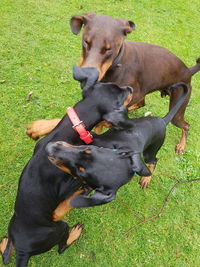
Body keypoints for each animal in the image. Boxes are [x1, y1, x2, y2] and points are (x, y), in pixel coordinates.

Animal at [0, 67, 134, 267]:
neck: (70, 129)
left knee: (7, 256)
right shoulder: (66, 183)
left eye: (112, 84)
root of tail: (23, 251)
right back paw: (74, 234)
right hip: (59, 228)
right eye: (120, 100)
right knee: (61, 247)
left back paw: (4, 244)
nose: (131, 88)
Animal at [27, 13, 200, 155]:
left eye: (108, 49)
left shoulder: (128, 93)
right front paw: (42, 126)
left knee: (185, 125)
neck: (116, 64)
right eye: (86, 42)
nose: (82, 76)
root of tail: (188, 70)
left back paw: (181, 145)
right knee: (142, 103)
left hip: (177, 108)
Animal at [46, 82, 188, 208]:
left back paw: (146, 179)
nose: (50, 148)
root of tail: (163, 121)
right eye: (89, 150)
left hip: (151, 150)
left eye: (81, 173)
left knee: (154, 161)